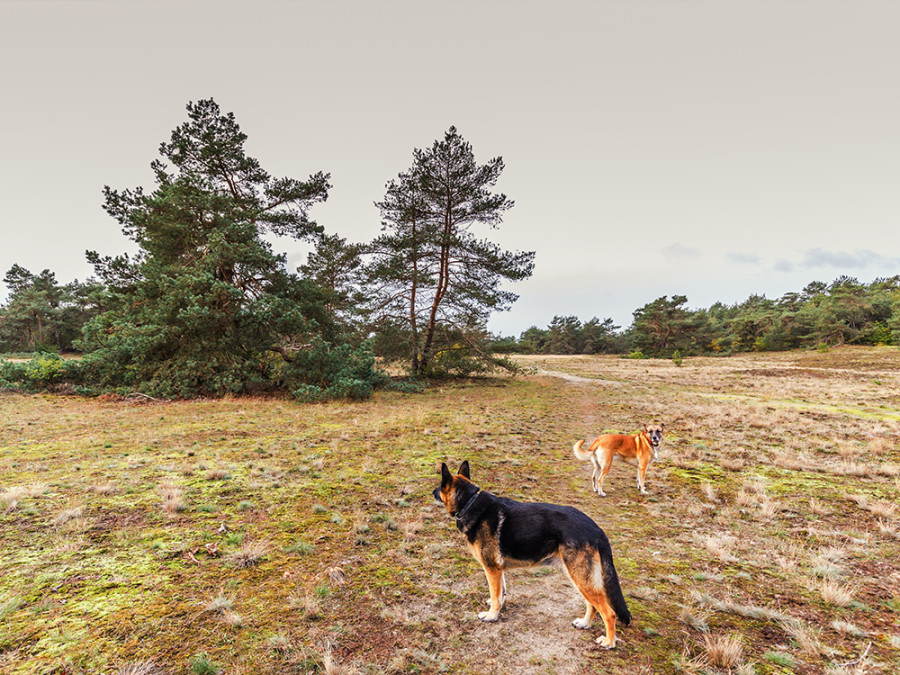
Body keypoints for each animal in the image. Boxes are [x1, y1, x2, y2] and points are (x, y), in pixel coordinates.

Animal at [432, 462, 628, 648]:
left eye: (440, 485)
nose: (432, 492)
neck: (469, 503)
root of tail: (596, 528)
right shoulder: (498, 570)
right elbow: (500, 593)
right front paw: (498, 607)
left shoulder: (491, 569)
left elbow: (495, 595)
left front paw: (491, 616)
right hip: (581, 578)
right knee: (593, 605)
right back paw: (585, 623)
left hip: (580, 577)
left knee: (609, 613)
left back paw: (609, 642)